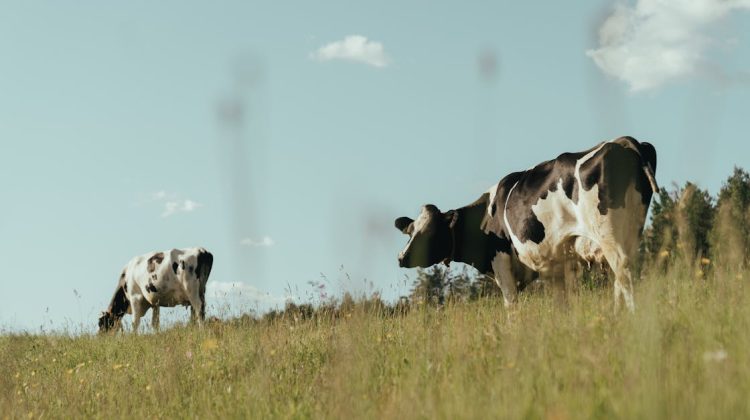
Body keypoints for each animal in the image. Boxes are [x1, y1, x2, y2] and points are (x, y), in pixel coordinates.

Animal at [396, 136, 660, 310]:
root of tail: (624, 142)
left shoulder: (501, 260)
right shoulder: (558, 264)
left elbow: (511, 305)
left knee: (625, 275)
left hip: (610, 235)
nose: (401, 257)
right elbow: (563, 302)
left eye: (429, 232)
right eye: (410, 232)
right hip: (631, 231)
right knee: (621, 278)